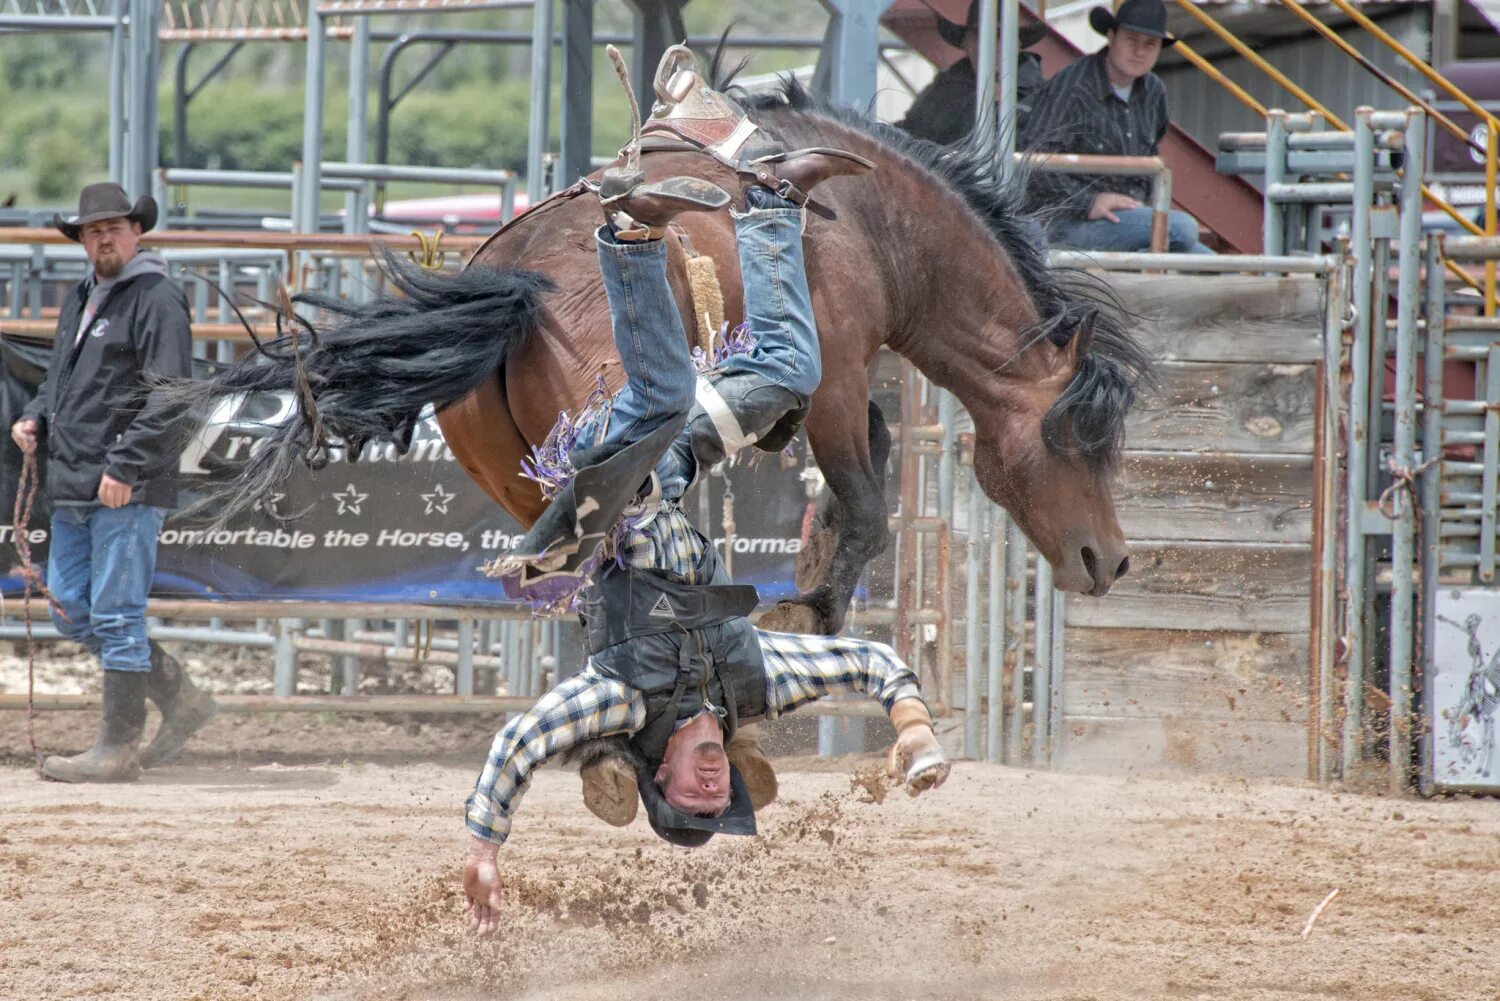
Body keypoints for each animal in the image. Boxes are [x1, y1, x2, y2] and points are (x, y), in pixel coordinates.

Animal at [187, 84, 1146, 633]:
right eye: (1073, 438)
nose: (1110, 561)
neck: (875, 224)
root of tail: (521, 284)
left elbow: (862, 473)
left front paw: (811, 567)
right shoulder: (834, 377)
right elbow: (870, 503)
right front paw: (812, 605)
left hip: (510, 467)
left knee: (580, 552)